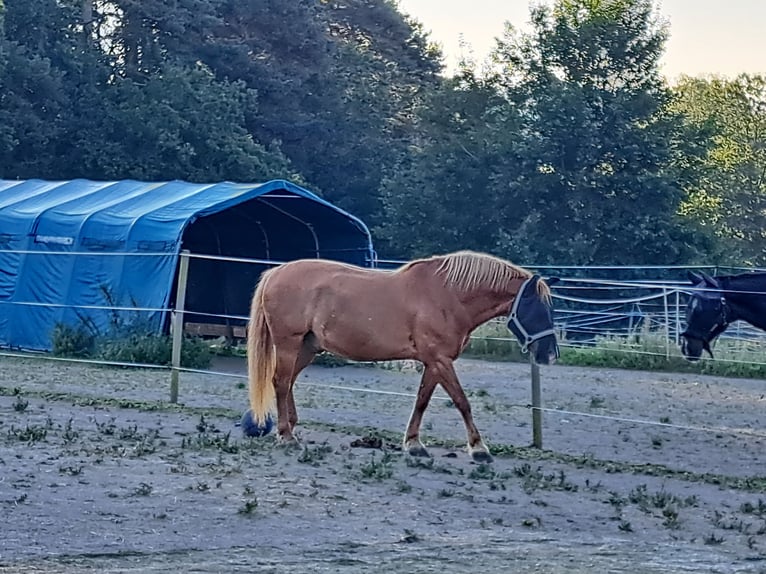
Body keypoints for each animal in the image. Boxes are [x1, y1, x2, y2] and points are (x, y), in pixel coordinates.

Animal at [246, 252, 560, 464]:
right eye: (538, 309)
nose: (549, 354)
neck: (448, 295)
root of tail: (275, 272)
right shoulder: (440, 360)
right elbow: (462, 402)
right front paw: (479, 449)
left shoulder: (434, 362)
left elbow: (422, 401)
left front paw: (414, 444)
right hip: (289, 344)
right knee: (281, 382)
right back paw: (286, 436)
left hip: (308, 347)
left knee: (287, 382)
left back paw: (291, 427)